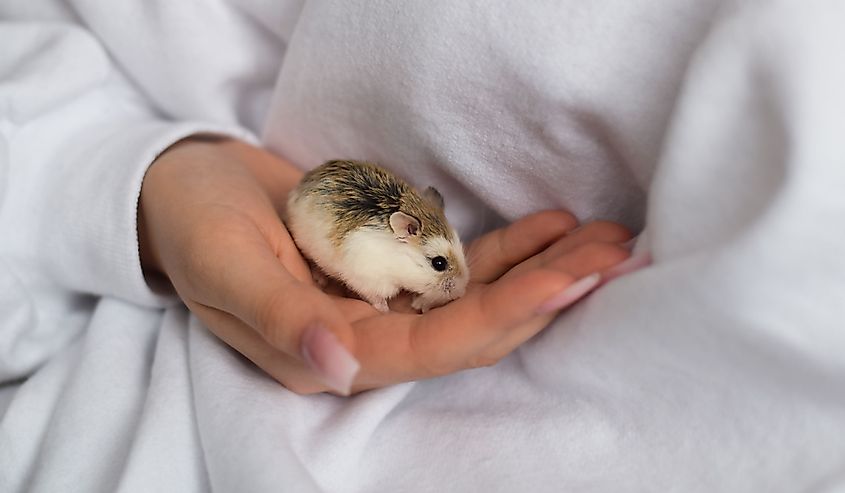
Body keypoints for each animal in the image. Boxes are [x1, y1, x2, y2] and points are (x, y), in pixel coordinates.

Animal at [284, 161, 468, 316]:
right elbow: (375, 297)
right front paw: (385, 310)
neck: (398, 260)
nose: (462, 290)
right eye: (439, 263)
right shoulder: (369, 280)